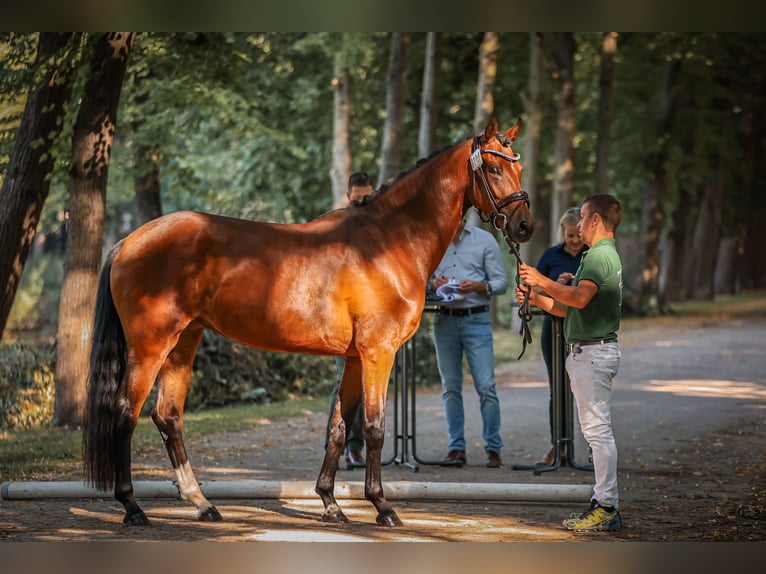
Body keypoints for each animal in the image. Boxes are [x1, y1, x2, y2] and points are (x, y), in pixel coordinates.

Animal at [81, 117, 532, 532]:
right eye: (493, 168)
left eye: (520, 168)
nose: (524, 226)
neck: (389, 241)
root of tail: (128, 241)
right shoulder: (377, 354)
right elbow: (373, 428)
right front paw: (382, 506)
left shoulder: (353, 359)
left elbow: (338, 427)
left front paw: (330, 504)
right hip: (151, 346)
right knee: (125, 413)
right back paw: (132, 507)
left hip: (183, 343)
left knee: (168, 416)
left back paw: (202, 504)